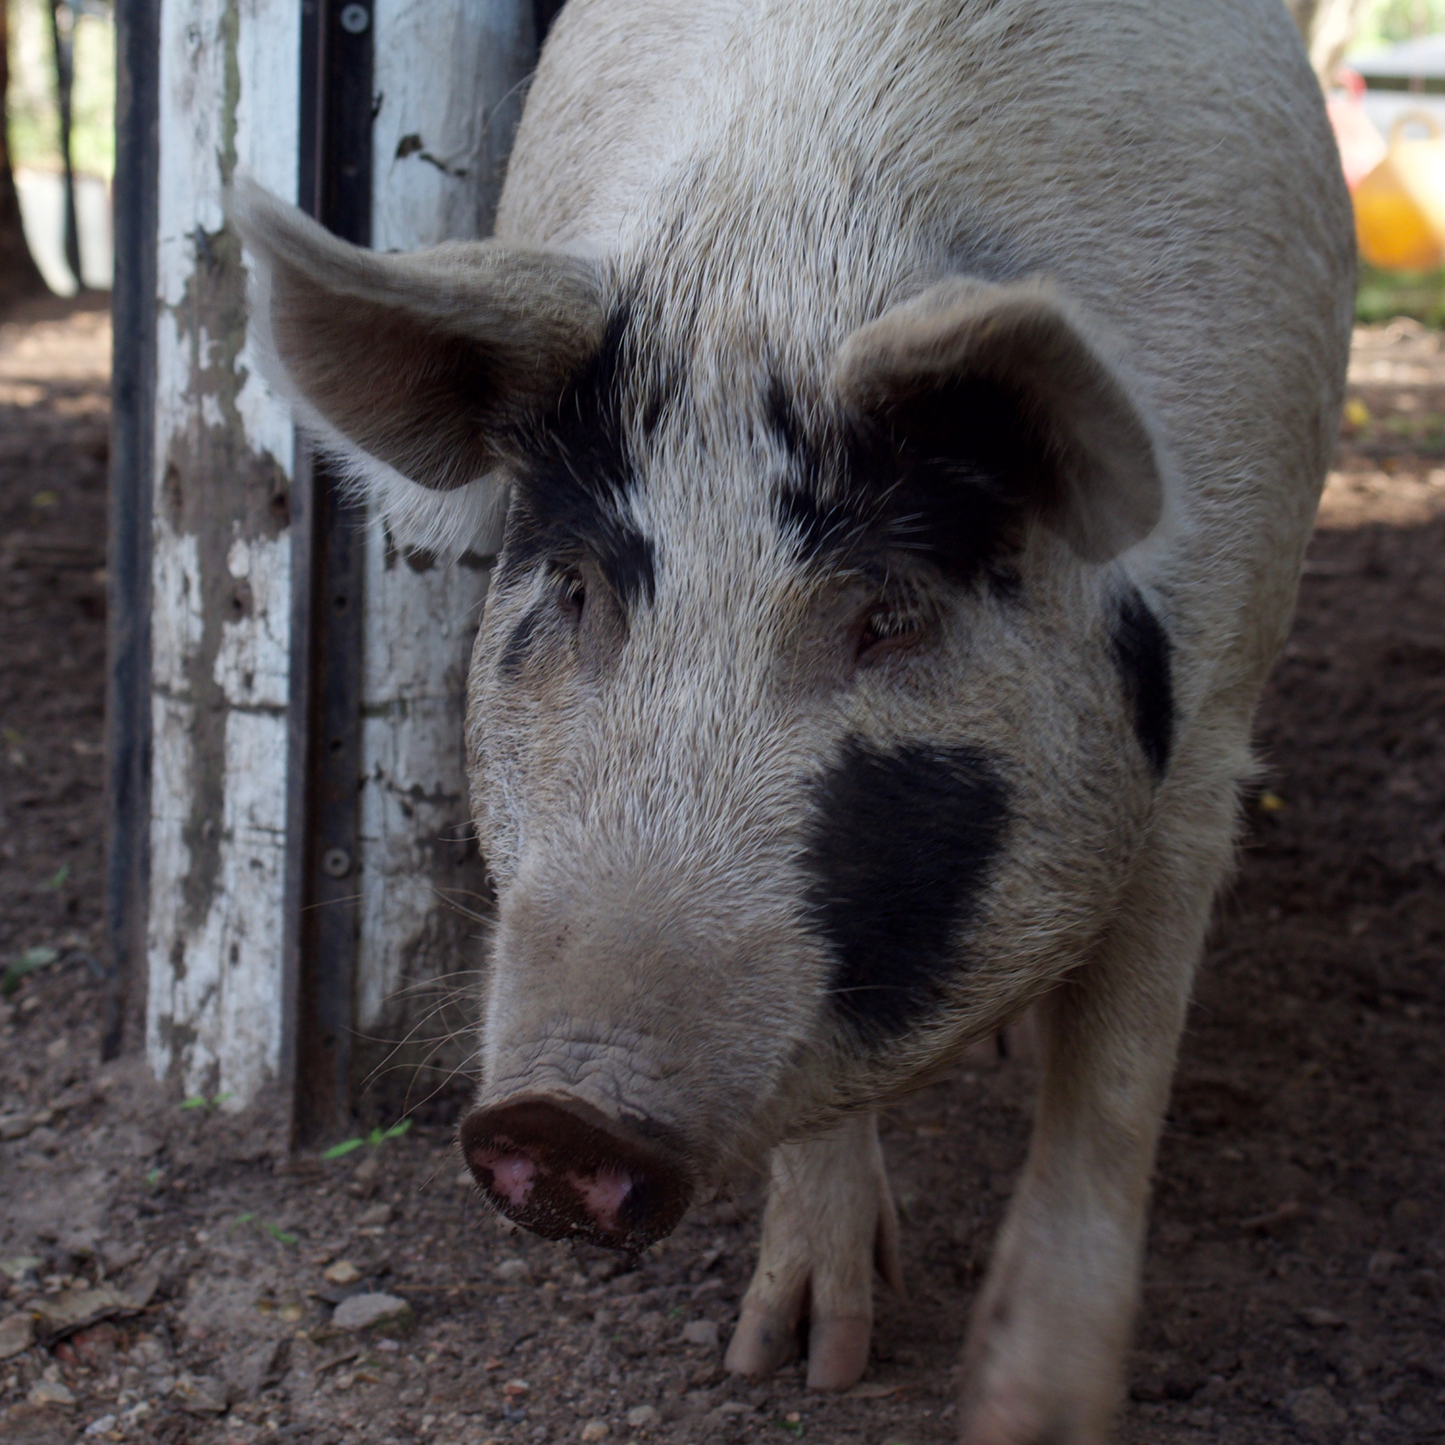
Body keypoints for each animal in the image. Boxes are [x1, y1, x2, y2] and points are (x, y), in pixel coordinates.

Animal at [233, 0, 1354, 1437]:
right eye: (577, 584)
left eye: (884, 615)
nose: (557, 1122)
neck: (790, 256)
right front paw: (794, 1359)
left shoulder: (1209, 730)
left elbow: (1111, 1087)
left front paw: (1027, 1412)